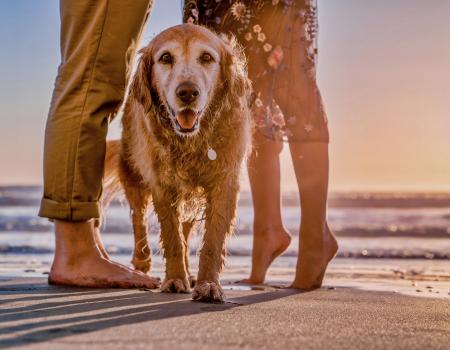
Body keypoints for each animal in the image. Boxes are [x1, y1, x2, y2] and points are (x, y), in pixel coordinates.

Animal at [106, 23, 253, 302]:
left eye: (206, 57)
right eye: (165, 58)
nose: (187, 92)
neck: (191, 141)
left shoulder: (225, 182)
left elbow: (212, 240)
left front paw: (208, 284)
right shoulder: (162, 185)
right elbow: (172, 236)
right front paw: (174, 279)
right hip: (133, 172)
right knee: (138, 217)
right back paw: (141, 262)